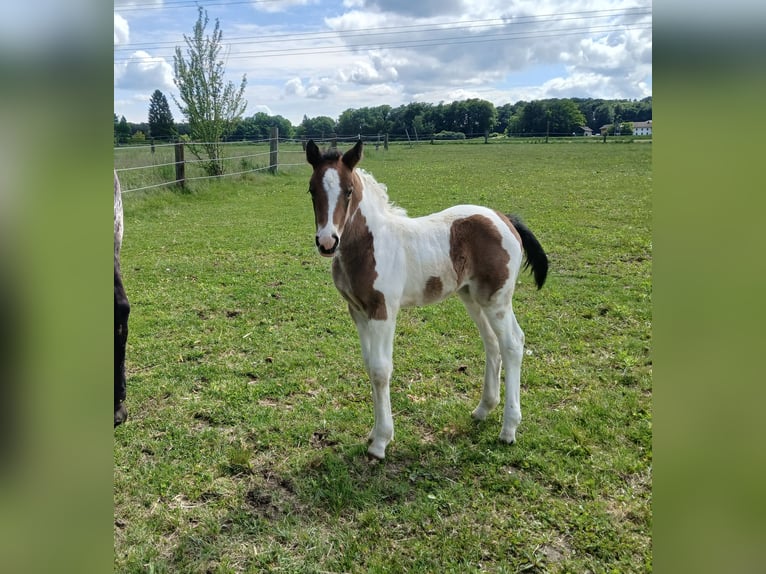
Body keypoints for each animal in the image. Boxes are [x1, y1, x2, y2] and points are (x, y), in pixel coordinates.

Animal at [305, 140, 548, 459]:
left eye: (348, 190)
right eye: (311, 189)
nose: (327, 242)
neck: (370, 245)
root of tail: (505, 218)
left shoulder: (384, 311)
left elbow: (381, 370)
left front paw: (381, 442)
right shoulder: (357, 311)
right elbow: (369, 366)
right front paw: (373, 433)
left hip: (497, 299)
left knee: (512, 344)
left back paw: (508, 429)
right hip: (472, 296)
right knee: (492, 343)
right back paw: (483, 409)